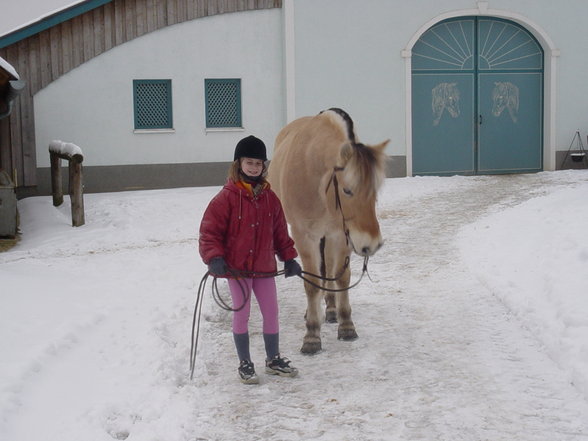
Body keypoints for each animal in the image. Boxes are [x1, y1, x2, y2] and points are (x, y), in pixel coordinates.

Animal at [268, 107, 388, 354]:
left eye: (375, 189)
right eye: (347, 190)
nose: (372, 243)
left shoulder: (341, 235)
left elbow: (341, 277)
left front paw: (346, 324)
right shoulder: (305, 237)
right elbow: (312, 285)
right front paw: (312, 335)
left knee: (329, 269)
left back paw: (331, 309)